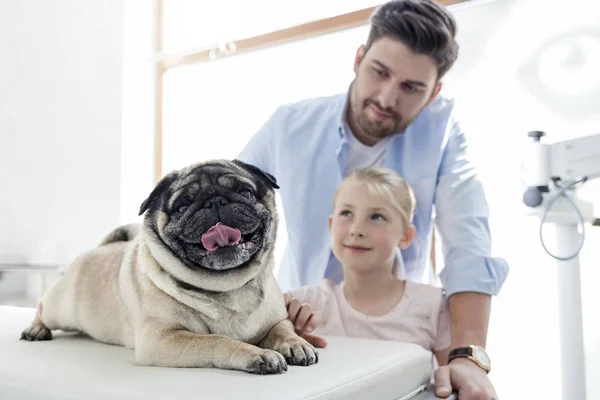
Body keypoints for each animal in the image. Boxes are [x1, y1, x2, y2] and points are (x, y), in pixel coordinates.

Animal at [20, 159, 316, 376]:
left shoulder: (277, 318)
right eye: (182, 206)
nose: (214, 201)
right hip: (61, 308)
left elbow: (283, 329)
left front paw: (297, 344)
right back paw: (36, 330)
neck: (227, 285)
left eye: (246, 193)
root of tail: (99, 248)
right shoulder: (163, 338)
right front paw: (257, 353)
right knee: (42, 309)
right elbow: (217, 340)